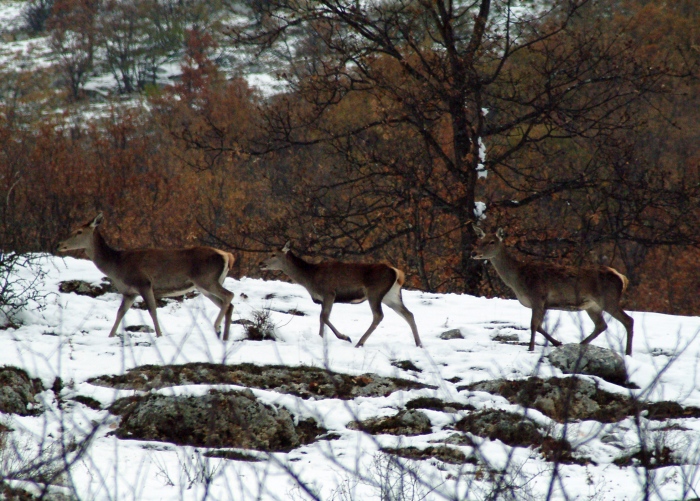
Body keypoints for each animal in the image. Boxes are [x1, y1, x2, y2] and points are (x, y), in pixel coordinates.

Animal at [58, 212, 238, 340]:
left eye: (79, 231)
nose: (60, 244)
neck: (116, 265)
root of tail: (227, 255)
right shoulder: (129, 292)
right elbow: (120, 313)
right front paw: (110, 336)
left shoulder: (143, 283)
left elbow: (152, 310)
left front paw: (159, 335)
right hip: (206, 285)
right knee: (228, 304)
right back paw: (224, 336)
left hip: (206, 279)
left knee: (230, 295)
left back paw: (216, 327)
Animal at [262, 243, 422, 348]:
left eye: (273, 254)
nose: (261, 264)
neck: (310, 278)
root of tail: (397, 272)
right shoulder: (322, 299)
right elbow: (321, 318)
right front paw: (320, 338)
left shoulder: (329, 292)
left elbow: (324, 317)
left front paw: (345, 337)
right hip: (391, 295)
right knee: (408, 314)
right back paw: (419, 343)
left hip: (375, 292)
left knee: (378, 315)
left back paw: (359, 342)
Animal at [470, 225, 636, 354]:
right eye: (480, 240)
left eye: (491, 241)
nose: (474, 253)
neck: (518, 279)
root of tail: (622, 277)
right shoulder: (545, 303)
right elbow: (539, 326)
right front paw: (557, 343)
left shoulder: (537, 296)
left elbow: (533, 324)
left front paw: (530, 348)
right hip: (592, 306)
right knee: (601, 325)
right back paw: (581, 344)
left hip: (608, 299)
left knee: (628, 320)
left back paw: (628, 352)